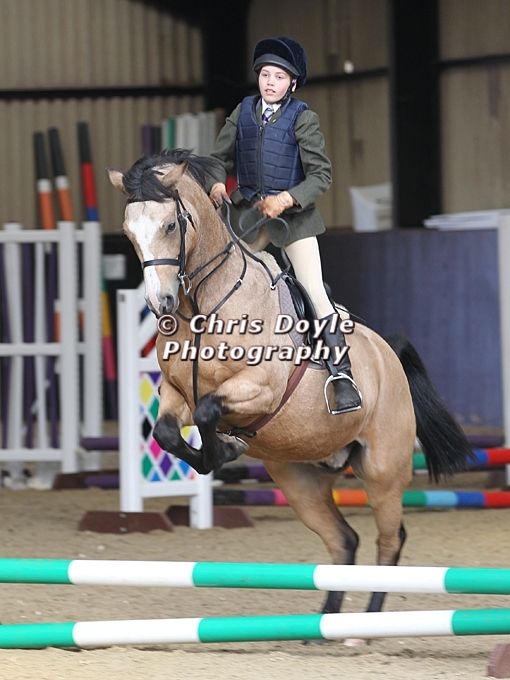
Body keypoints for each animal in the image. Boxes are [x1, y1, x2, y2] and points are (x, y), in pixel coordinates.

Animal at [108, 148, 473, 622]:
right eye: (128, 231)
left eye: (171, 225)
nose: (160, 304)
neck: (204, 306)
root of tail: (388, 355)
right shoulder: (175, 393)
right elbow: (167, 432)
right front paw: (222, 450)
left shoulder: (260, 387)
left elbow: (208, 411)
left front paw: (224, 450)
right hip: (299, 479)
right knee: (344, 540)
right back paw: (321, 625)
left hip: (382, 471)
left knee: (390, 541)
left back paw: (364, 626)